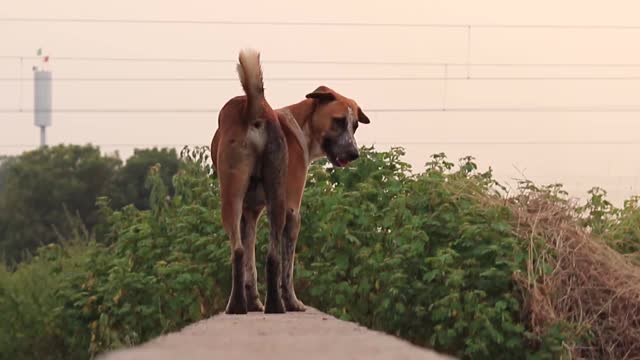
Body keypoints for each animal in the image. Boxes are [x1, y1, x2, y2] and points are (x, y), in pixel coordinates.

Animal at [210, 49, 370, 314]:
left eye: (355, 125)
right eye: (338, 121)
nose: (354, 154)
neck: (301, 127)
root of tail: (254, 110)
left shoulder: (250, 212)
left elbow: (250, 265)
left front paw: (254, 302)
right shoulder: (293, 209)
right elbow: (287, 267)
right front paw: (292, 301)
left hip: (237, 198)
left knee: (243, 251)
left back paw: (247, 305)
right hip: (276, 200)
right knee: (271, 256)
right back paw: (273, 305)